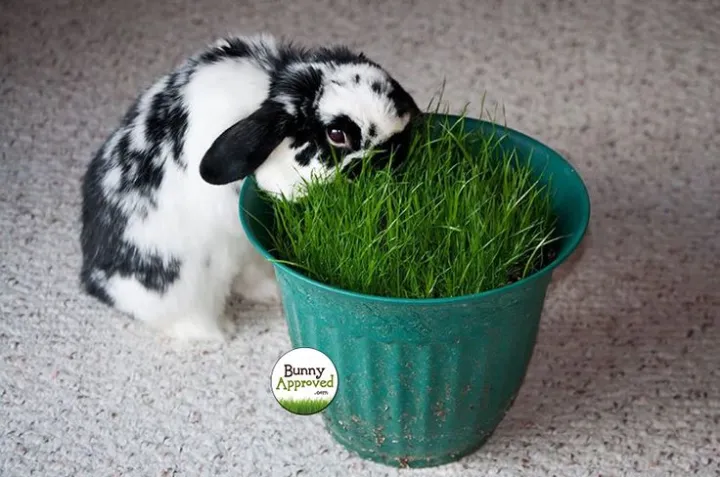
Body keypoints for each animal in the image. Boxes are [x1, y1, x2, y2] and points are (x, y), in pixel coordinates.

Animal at [79, 33, 421, 341]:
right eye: (337, 134)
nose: (397, 152)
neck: (273, 86)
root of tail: (98, 283)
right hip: (186, 286)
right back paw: (218, 333)